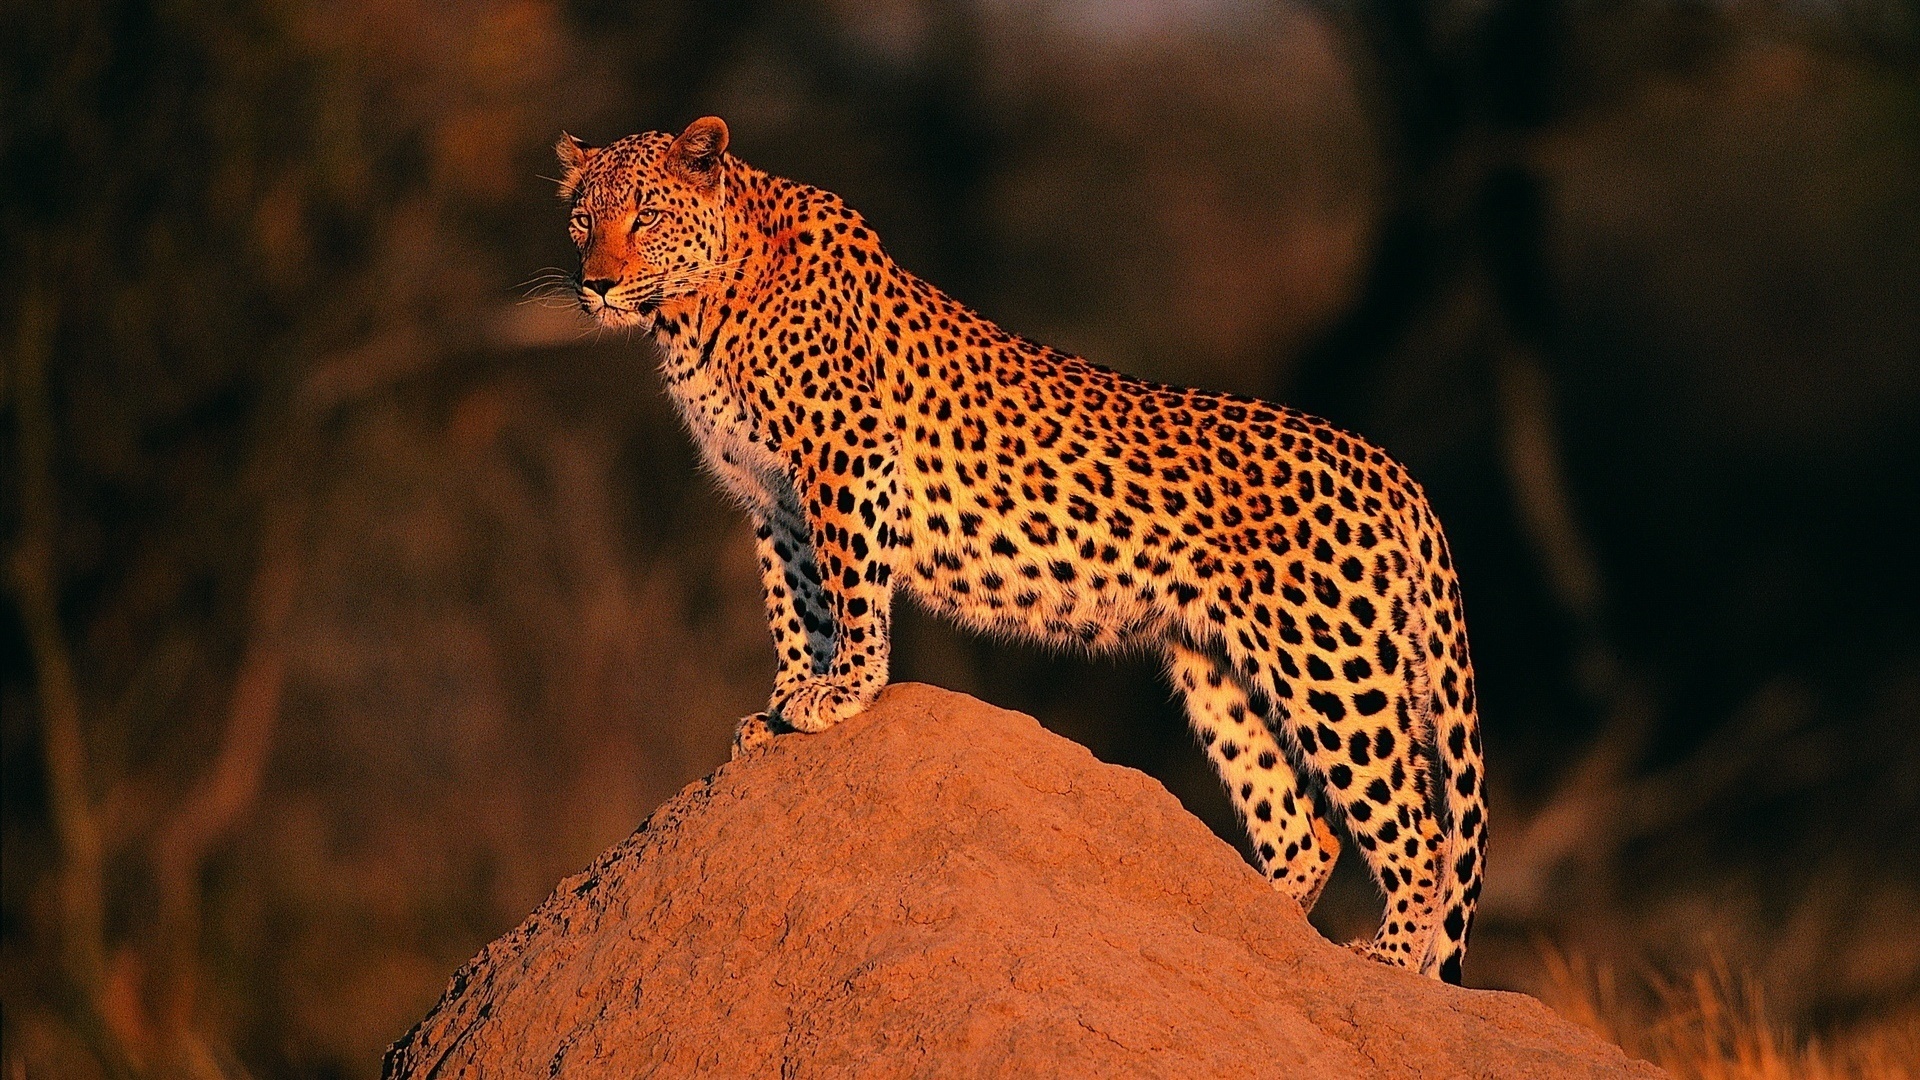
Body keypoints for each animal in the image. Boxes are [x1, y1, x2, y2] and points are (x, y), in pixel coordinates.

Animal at [556, 115, 1482, 976]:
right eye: (580, 220)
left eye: (645, 215)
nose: (596, 285)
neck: (694, 312)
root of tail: (1386, 465)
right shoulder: (773, 501)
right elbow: (796, 605)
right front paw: (785, 701)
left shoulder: (848, 456)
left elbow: (850, 591)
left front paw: (844, 691)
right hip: (1219, 666)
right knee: (1303, 827)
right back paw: (1245, 930)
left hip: (1332, 662)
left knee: (1418, 829)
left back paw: (1388, 958)